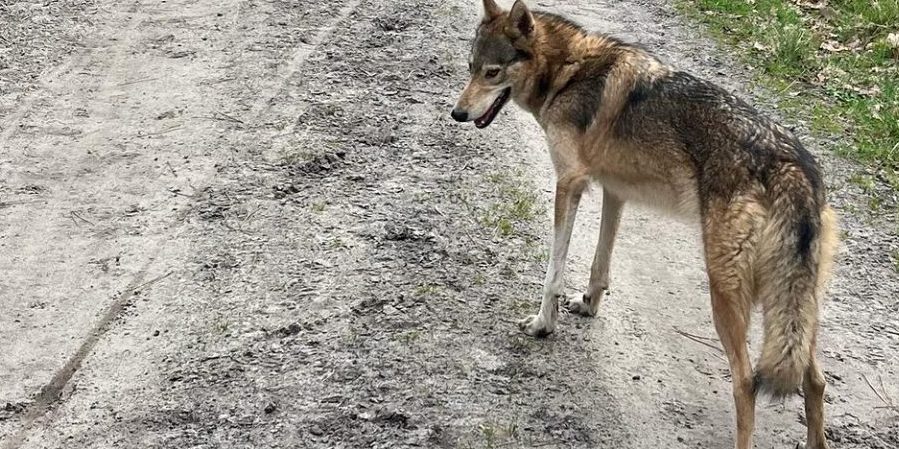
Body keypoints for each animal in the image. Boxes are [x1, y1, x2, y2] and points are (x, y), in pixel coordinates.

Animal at [454, 1, 840, 446]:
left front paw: (542, 325)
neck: (567, 72)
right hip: (795, 312)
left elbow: (553, 272)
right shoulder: (613, 190)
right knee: (816, 381)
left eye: (492, 73)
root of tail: (794, 168)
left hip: (726, 296)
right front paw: (588, 305)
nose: (457, 113)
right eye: (470, 67)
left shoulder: (568, 185)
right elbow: (599, 263)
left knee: (746, 384)